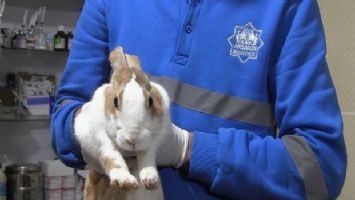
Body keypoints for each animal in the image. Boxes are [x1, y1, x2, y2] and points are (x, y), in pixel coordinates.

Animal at [73, 47, 170, 200]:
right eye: (115, 101)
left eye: (151, 100)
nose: (133, 139)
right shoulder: (97, 135)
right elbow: (111, 156)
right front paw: (124, 181)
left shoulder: (156, 138)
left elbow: (147, 155)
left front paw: (150, 179)